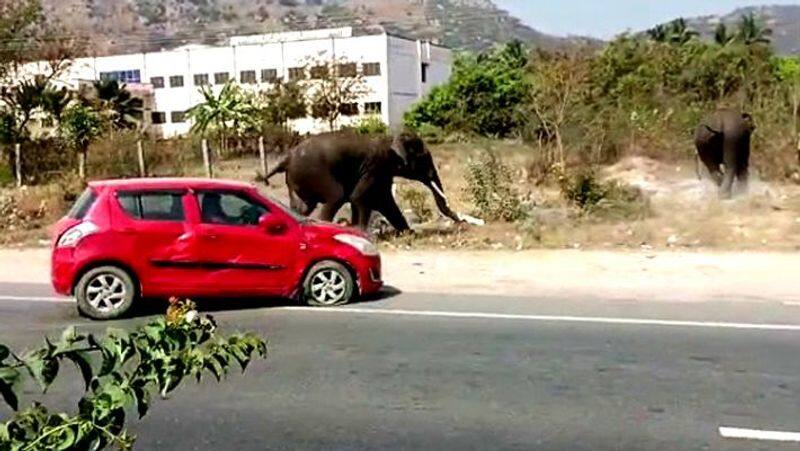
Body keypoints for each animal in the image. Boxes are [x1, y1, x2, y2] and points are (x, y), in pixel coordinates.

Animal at [266, 130, 460, 230]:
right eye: (423, 159)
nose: (460, 222)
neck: (391, 139)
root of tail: (287, 158)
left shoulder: (381, 173)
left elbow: (384, 201)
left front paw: (408, 233)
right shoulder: (375, 166)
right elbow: (359, 197)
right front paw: (359, 231)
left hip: (297, 180)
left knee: (303, 207)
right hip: (315, 174)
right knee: (336, 196)